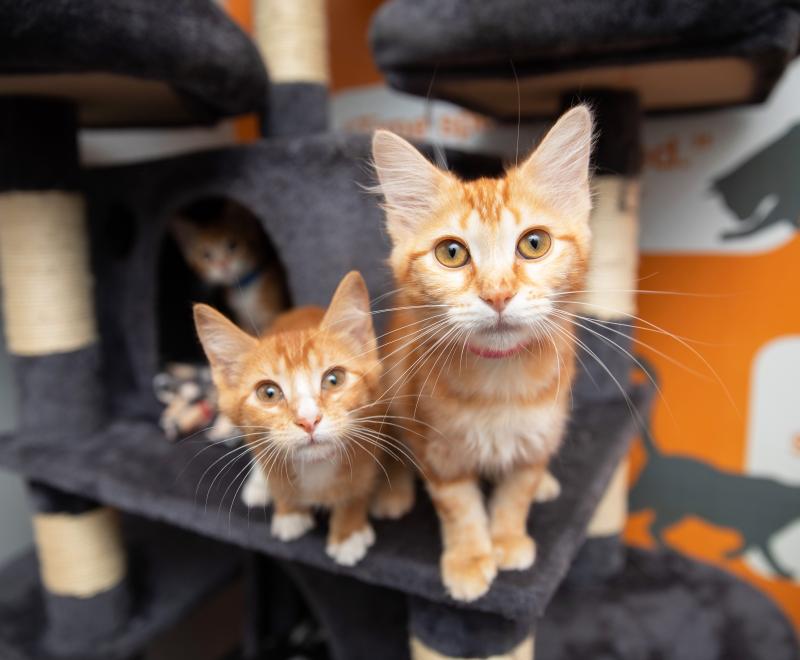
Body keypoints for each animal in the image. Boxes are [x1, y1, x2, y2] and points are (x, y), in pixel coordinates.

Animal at [173, 200, 288, 336]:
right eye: (206, 255)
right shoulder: (243, 320)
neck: (244, 290)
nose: (223, 264)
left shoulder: (273, 311)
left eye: (233, 245)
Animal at [191, 270, 410, 564]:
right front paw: (289, 510)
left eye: (334, 379)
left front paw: (348, 531)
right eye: (269, 393)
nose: (309, 420)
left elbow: (358, 486)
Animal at [372, 105, 592, 600]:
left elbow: (517, 490)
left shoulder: (540, 430)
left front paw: (507, 537)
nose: (497, 294)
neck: (499, 387)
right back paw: (393, 493)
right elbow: (458, 505)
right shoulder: (436, 447)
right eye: (451, 253)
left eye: (534, 243)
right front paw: (471, 557)